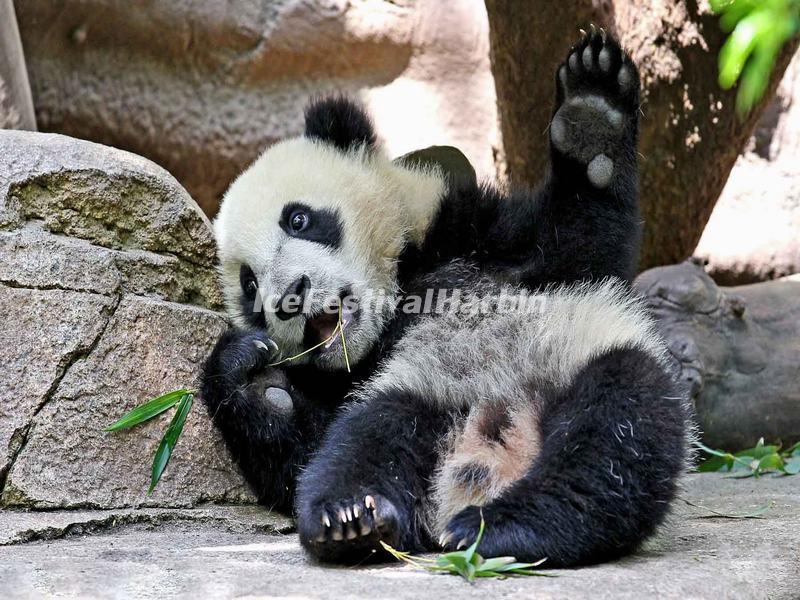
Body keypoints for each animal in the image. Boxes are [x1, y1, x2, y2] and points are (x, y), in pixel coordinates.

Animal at [201, 30, 693, 567]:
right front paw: (250, 372)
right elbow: (301, 453)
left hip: (578, 358)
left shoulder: (476, 237)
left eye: (299, 219)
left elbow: (583, 246)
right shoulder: (354, 378)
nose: (290, 297)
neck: (400, 293)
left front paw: (593, 116)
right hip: (416, 396)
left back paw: (509, 524)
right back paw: (351, 517)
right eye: (249, 284)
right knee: (365, 442)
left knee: (614, 428)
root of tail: (490, 460)